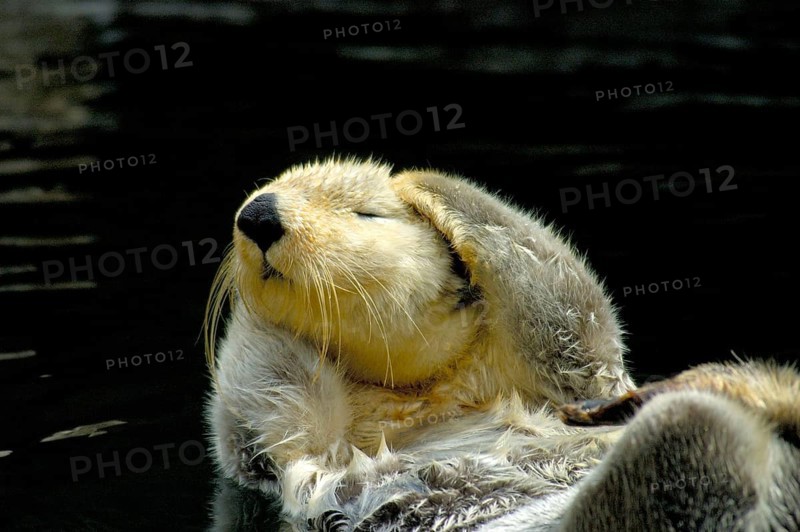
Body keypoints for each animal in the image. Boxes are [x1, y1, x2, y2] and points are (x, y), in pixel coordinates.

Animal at [206, 157, 799, 530]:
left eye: (367, 215)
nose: (258, 214)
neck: (413, 402)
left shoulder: (575, 378)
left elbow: (573, 319)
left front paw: (417, 183)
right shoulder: (285, 453)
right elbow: (268, 400)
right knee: (687, 435)